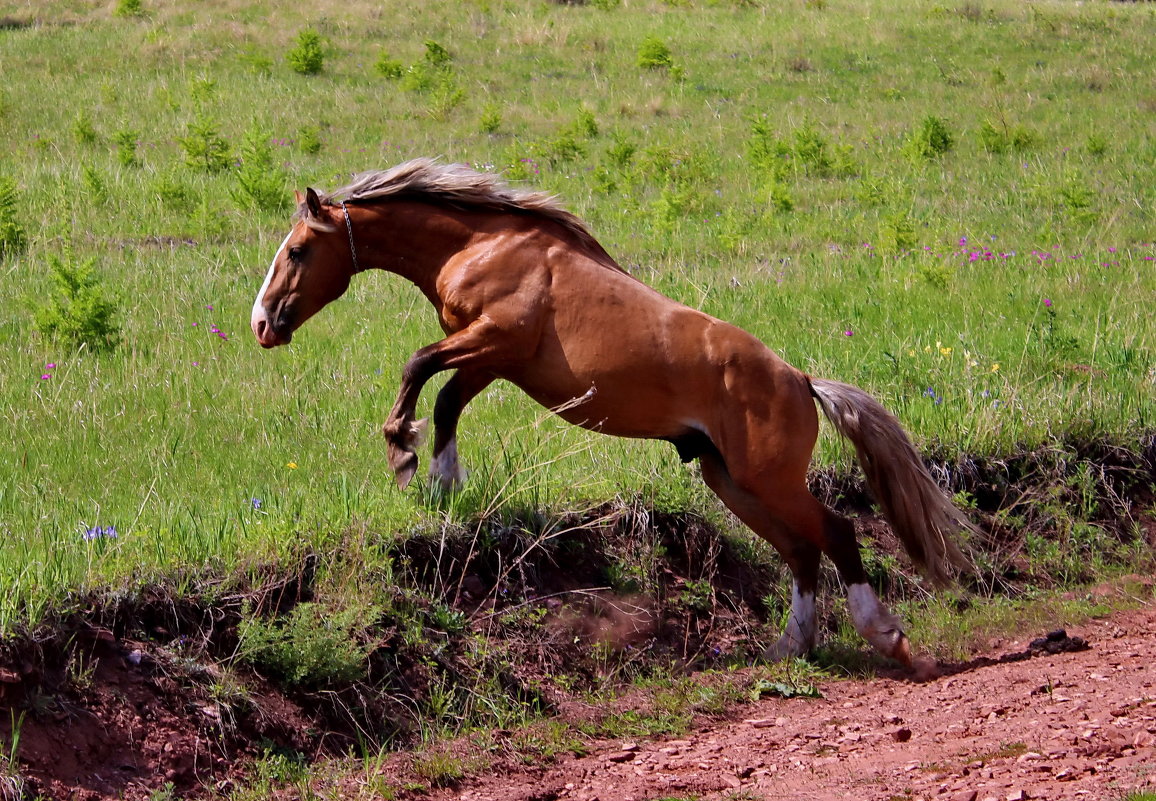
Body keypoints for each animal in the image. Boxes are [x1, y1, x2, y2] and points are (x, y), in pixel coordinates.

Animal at [253, 159, 975, 665]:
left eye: (296, 251)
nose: (262, 323)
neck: (481, 244)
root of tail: (800, 380)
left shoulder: (495, 339)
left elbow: (418, 369)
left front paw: (403, 452)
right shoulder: (493, 358)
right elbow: (446, 396)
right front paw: (441, 480)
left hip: (769, 480)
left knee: (838, 533)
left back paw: (885, 635)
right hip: (728, 479)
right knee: (801, 551)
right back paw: (788, 647)